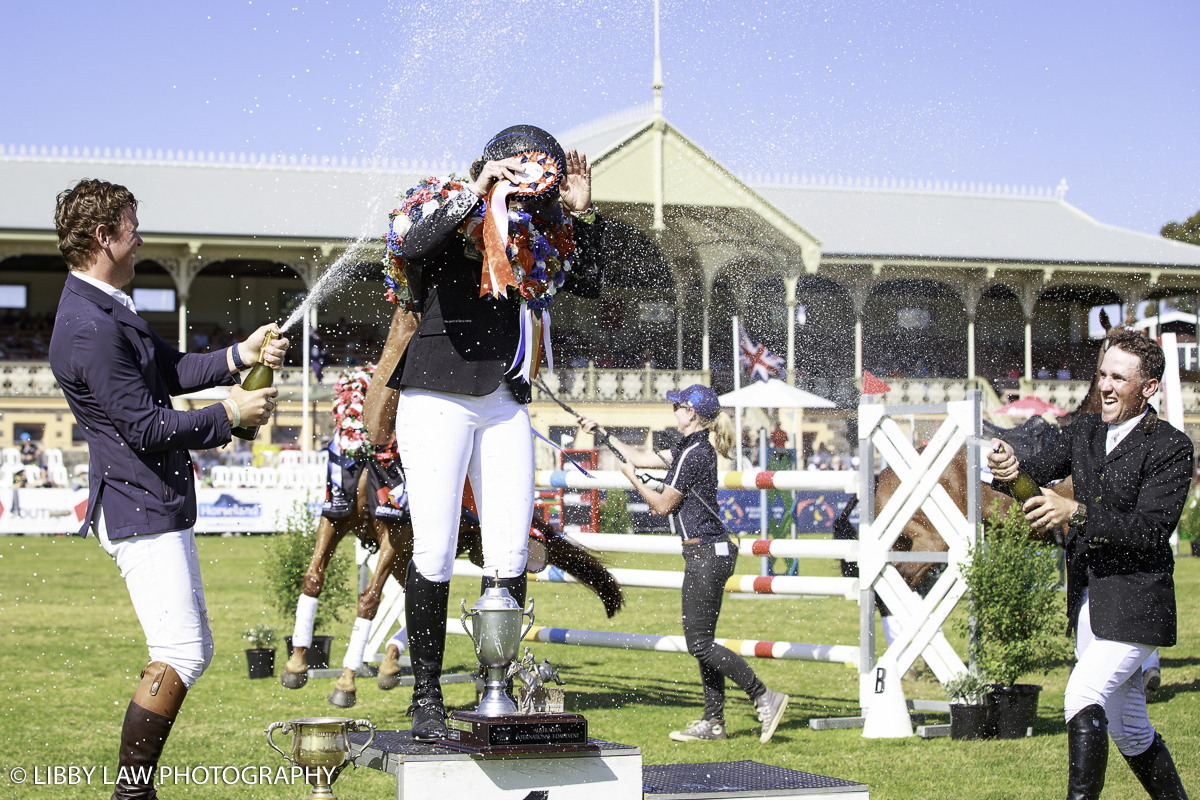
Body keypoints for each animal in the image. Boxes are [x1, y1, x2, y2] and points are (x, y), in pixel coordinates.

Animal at [282, 307, 628, 705]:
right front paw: (296, 664)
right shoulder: (335, 519)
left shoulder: (396, 538)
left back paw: (483, 679)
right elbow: (312, 579)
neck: (376, 447)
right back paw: (395, 664)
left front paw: (346, 682)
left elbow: (368, 601)